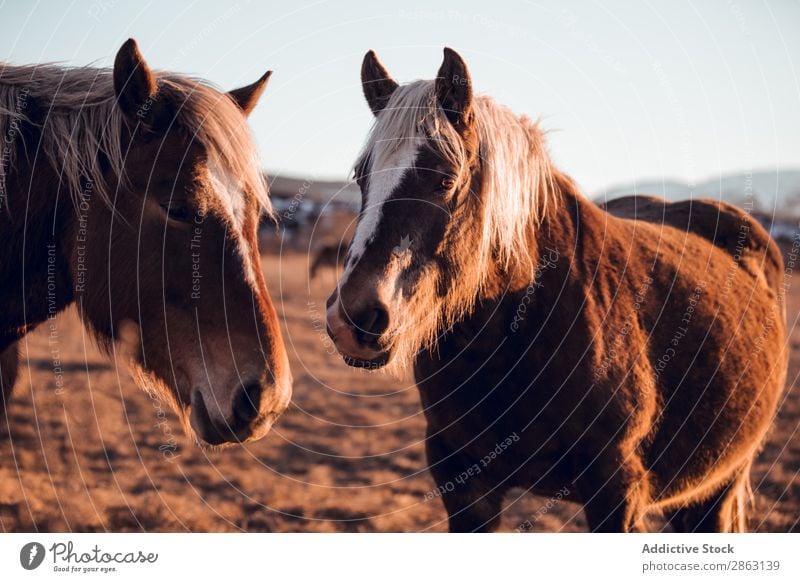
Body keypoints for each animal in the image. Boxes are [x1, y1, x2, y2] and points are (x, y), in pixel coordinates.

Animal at [326, 49, 788, 532]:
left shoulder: (616, 491)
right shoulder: (463, 481)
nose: (353, 318)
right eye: (361, 177)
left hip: (720, 483)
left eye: (445, 180)